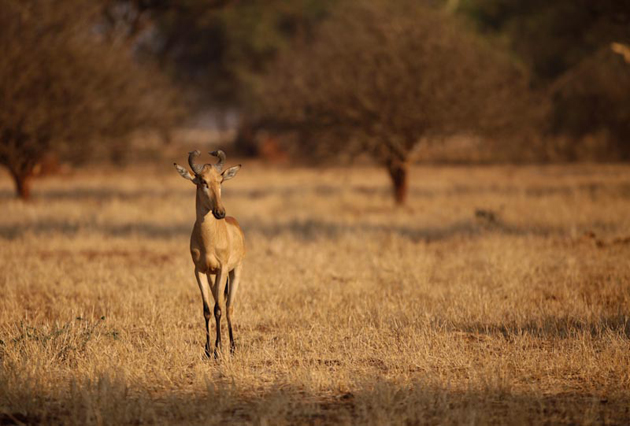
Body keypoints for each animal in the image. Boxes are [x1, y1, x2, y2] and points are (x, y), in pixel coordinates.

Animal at [174, 150, 246, 356]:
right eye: (203, 181)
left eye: (220, 181)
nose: (220, 212)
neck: (210, 238)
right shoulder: (199, 271)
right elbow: (207, 310)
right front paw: (207, 350)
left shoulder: (222, 269)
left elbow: (218, 309)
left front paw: (218, 349)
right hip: (213, 276)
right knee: (218, 300)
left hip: (235, 271)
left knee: (228, 307)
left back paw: (232, 347)